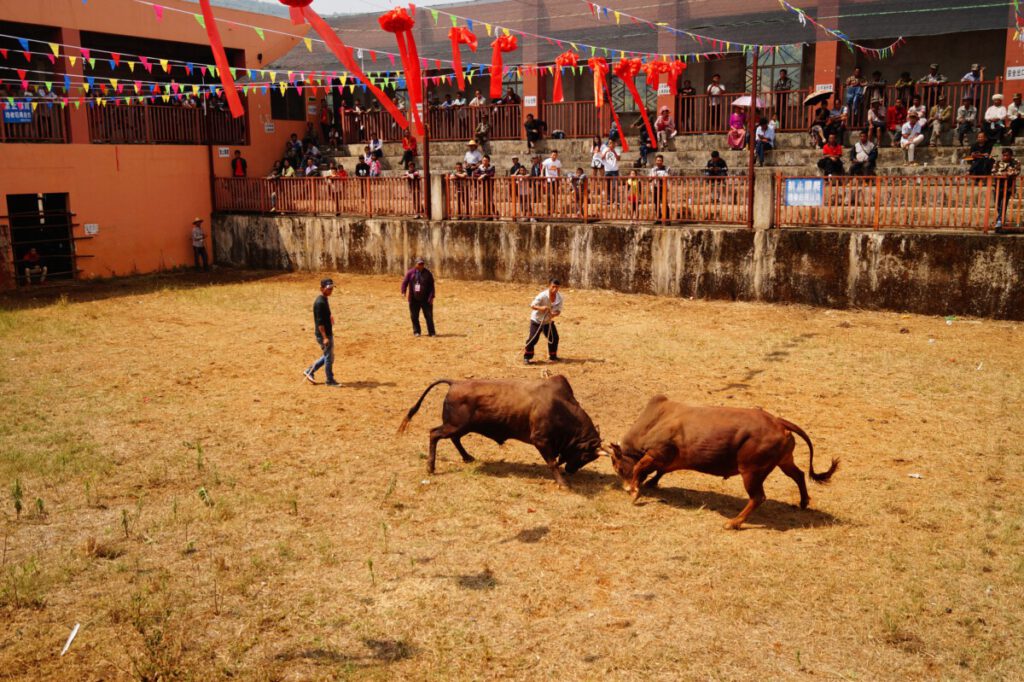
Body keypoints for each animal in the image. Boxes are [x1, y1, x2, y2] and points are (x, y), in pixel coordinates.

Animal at [393, 374, 602, 485]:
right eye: (585, 455)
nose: (571, 471)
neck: (561, 407)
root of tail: (455, 383)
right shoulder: (541, 440)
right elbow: (551, 463)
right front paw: (562, 483)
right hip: (454, 425)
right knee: (434, 434)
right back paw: (431, 467)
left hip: (461, 427)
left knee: (454, 439)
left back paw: (467, 457)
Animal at [602, 395, 835, 528]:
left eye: (616, 464)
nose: (622, 485)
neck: (654, 421)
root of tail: (778, 422)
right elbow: (660, 470)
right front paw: (649, 483)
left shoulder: (657, 452)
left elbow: (641, 467)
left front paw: (633, 490)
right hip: (784, 461)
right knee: (798, 475)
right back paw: (803, 502)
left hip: (751, 471)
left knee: (758, 497)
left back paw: (734, 522)